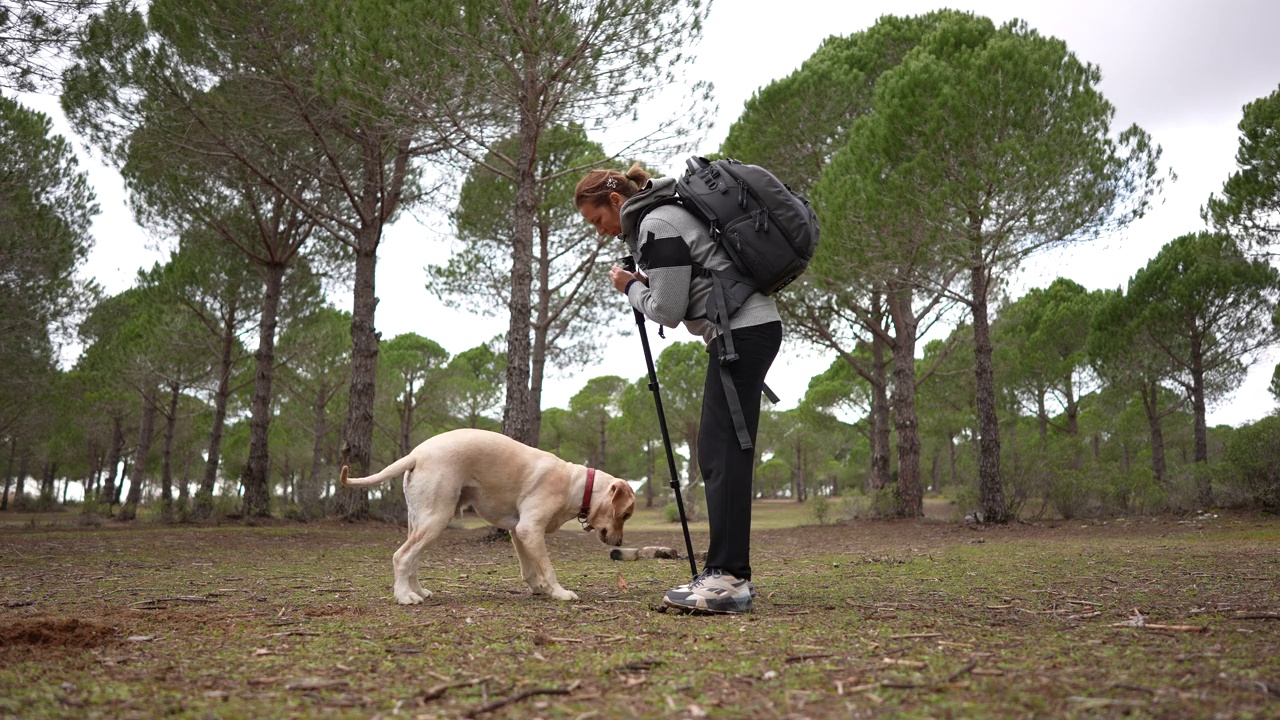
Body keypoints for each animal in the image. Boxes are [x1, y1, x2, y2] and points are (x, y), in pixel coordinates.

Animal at [343, 427, 637, 602]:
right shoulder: (530, 529)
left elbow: (530, 568)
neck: (576, 484)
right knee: (401, 556)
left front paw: (538, 588)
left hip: (420, 521)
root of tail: (415, 454)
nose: (621, 543)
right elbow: (548, 568)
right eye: (625, 514)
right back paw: (405, 597)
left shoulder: (519, 532)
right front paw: (559, 592)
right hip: (435, 520)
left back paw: (418, 591)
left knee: (412, 559)